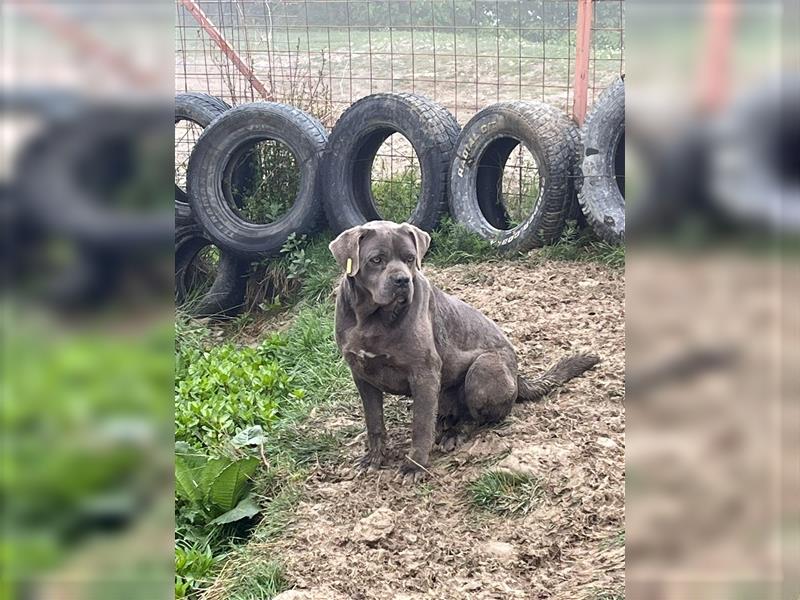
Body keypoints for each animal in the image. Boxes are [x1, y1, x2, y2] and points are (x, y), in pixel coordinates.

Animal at [328, 220, 596, 482]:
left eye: (410, 258)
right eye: (376, 259)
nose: (403, 280)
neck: (373, 319)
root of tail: (519, 376)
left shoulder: (424, 374)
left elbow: (420, 426)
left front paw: (414, 467)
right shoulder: (362, 376)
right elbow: (374, 422)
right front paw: (374, 459)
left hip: (483, 369)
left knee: (477, 418)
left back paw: (454, 433)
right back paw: (445, 422)